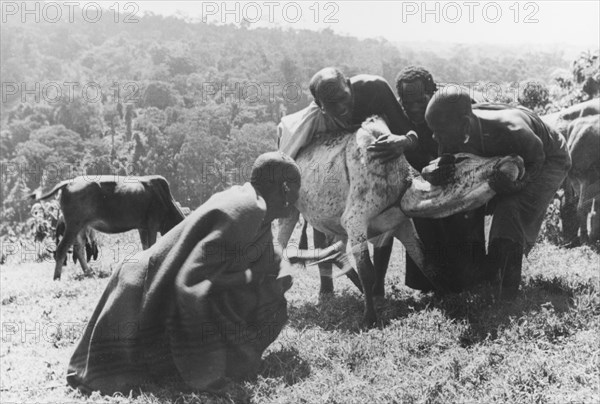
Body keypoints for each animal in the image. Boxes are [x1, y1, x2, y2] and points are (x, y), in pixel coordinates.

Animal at [30, 175, 184, 280]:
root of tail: (70, 181)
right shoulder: (152, 224)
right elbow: (152, 246)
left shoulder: (143, 227)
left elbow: (146, 247)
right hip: (73, 225)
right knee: (62, 249)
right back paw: (57, 277)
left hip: (81, 227)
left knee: (78, 250)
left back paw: (89, 272)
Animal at [278, 116, 524, 326]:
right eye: (464, 157)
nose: (513, 158)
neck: (400, 187)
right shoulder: (355, 221)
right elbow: (368, 271)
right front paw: (369, 318)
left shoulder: (401, 225)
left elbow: (427, 263)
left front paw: (450, 297)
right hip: (289, 213)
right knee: (284, 248)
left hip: (330, 225)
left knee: (332, 252)